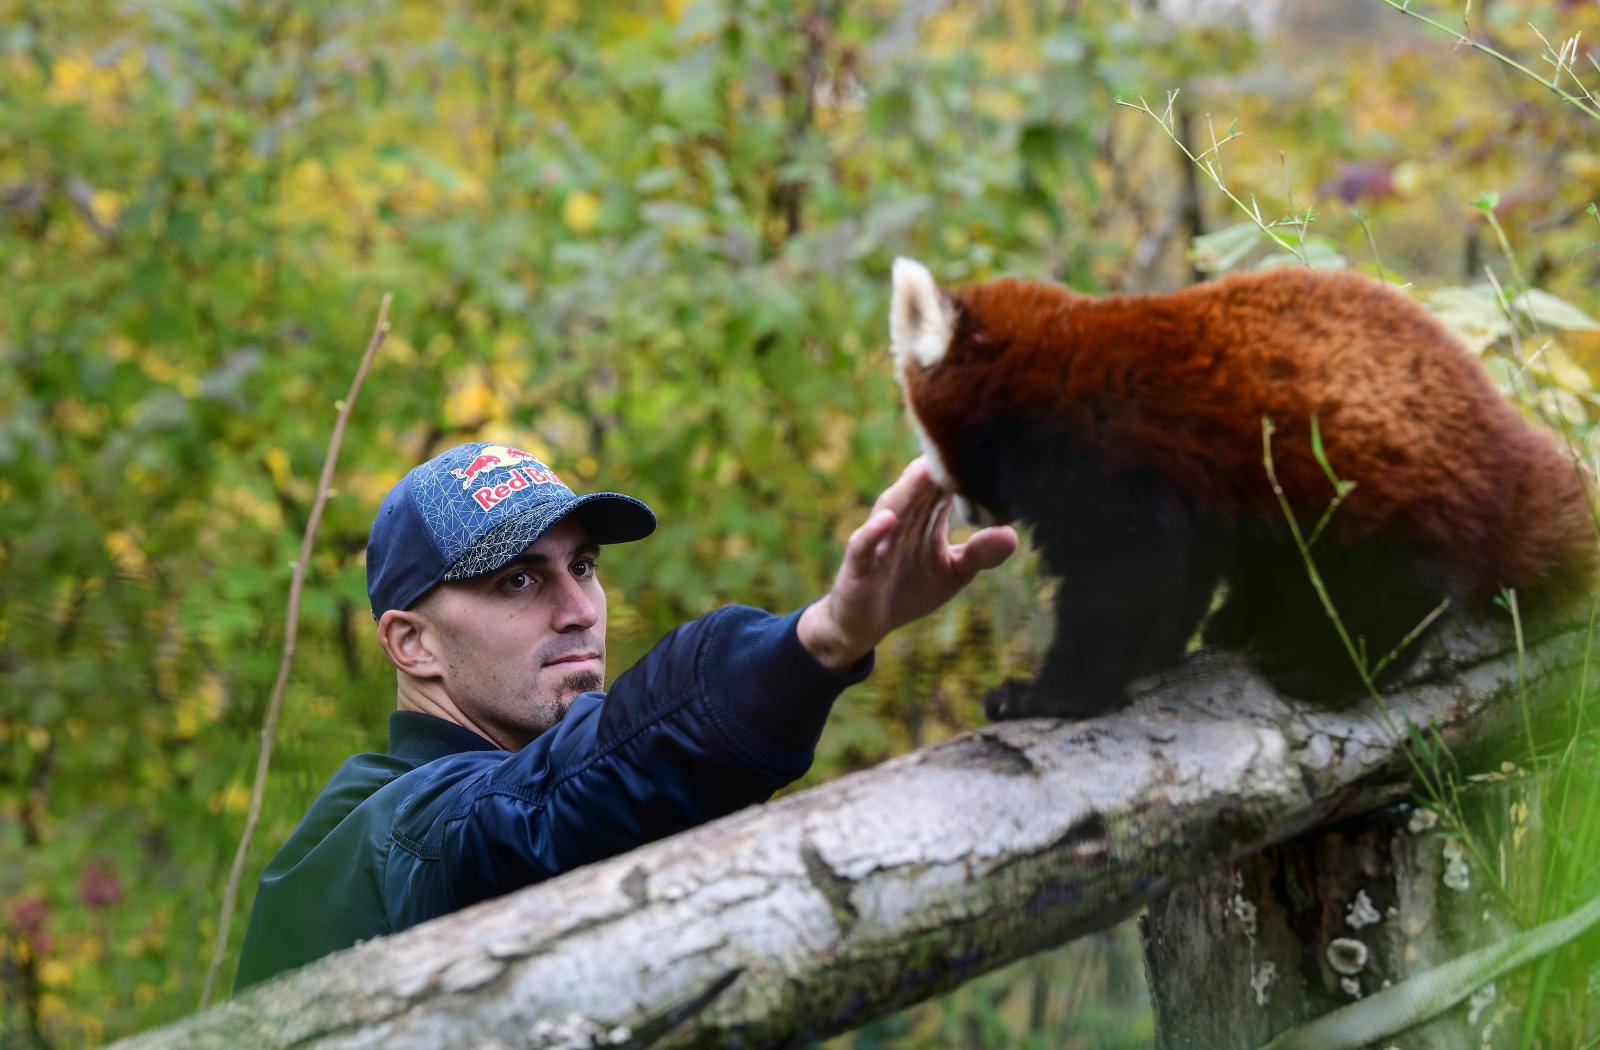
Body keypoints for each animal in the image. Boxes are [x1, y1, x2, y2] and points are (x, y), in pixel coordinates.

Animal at [896, 257, 1593, 717]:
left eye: (926, 437)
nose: (962, 509)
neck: (1055, 371)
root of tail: (1502, 436)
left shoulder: (1111, 460)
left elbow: (1121, 584)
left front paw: (1046, 695)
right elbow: (1174, 578)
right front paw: (1156, 653)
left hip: (1375, 477)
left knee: (1391, 589)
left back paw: (1325, 666)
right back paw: (1244, 620)